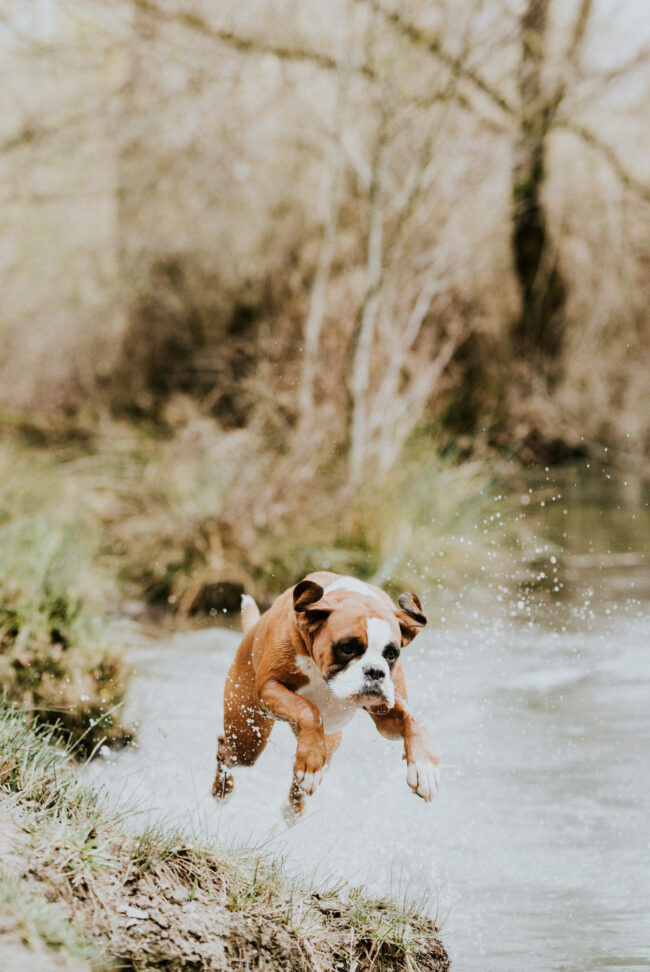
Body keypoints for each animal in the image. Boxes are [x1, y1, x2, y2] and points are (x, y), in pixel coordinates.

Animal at [210, 572, 438, 816]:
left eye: (391, 654)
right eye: (347, 648)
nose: (375, 671)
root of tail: (252, 630)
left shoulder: (386, 715)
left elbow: (413, 719)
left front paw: (424, 768)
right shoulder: (269, 687)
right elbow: (308, 710)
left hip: (326, 743)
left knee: (304, 770)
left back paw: (294, 806)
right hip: (248, 737)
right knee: (225, 748)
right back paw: (222, 792)